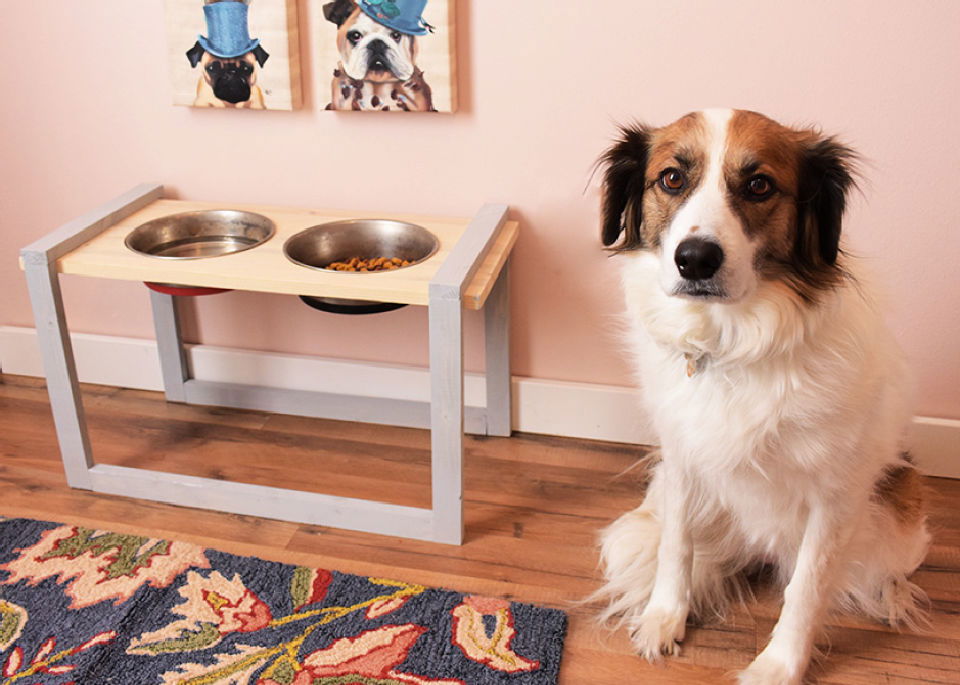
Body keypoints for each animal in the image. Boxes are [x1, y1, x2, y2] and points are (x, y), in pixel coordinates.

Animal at [596, 109, 928, 680]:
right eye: (671, 178)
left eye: (759, 185)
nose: (695, 260)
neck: (732, 345)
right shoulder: (681, 461)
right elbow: (675, 547)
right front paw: (666, 616)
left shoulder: (835, 497)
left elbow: (807, 588)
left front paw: (780, 666)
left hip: (901, 516)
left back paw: (890, 595)